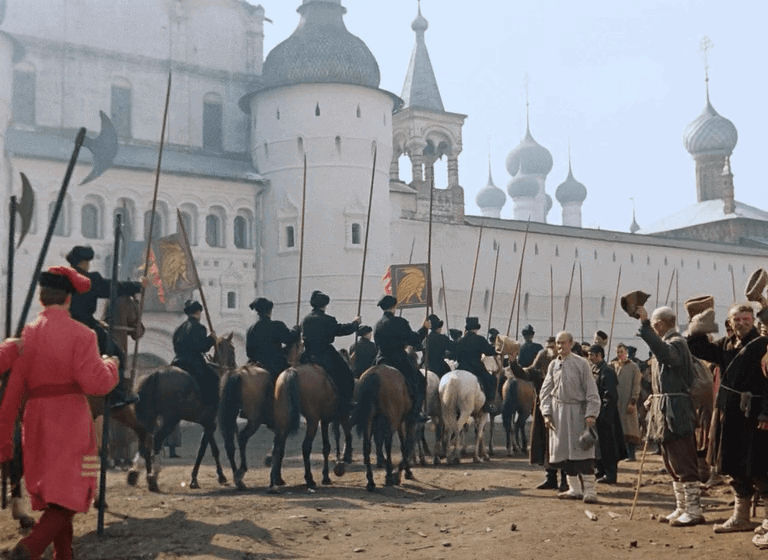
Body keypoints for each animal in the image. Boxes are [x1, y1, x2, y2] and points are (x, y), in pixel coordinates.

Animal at [132, 333, 234, 491]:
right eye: (232, 349)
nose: (234, 366)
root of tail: (155, 374)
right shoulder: (211, 423)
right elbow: (202, 450)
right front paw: (194, 479)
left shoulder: (207, 422)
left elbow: (213, 448)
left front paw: (221, 476)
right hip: (170, 419)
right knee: (157, 440)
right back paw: (153, 477)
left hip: (148, 418)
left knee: (144, 443)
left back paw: (143, 475)